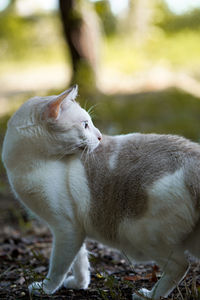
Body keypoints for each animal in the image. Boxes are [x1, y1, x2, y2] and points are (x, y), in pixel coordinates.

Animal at [2, 85, 200, 300]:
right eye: (85, 125)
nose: (100, 137)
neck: (26, 165)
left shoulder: (66, 227)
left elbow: (58, 266)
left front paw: (45, 289)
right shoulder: (74, 230)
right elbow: (80, 260)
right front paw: (80, 284)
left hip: (137, 233)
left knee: (179, 265)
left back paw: (148, 295)